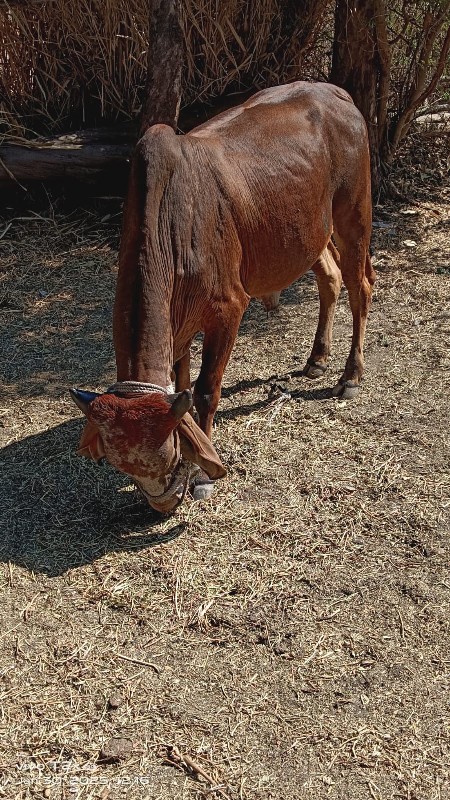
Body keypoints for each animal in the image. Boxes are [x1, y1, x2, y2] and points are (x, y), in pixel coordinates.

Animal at [70, 81, 374, 512]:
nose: (163, 505)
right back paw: (317, 358)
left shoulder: (228, 309)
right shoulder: (178, 326)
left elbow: (204, 390)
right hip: (307, 233)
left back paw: (350, 375)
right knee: (330, 279)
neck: (170, 228)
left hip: (354, 213)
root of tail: (335, 91)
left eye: (166, 456)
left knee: (360, 287)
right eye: (122, 466)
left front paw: (201, 476)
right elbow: (180, 376)